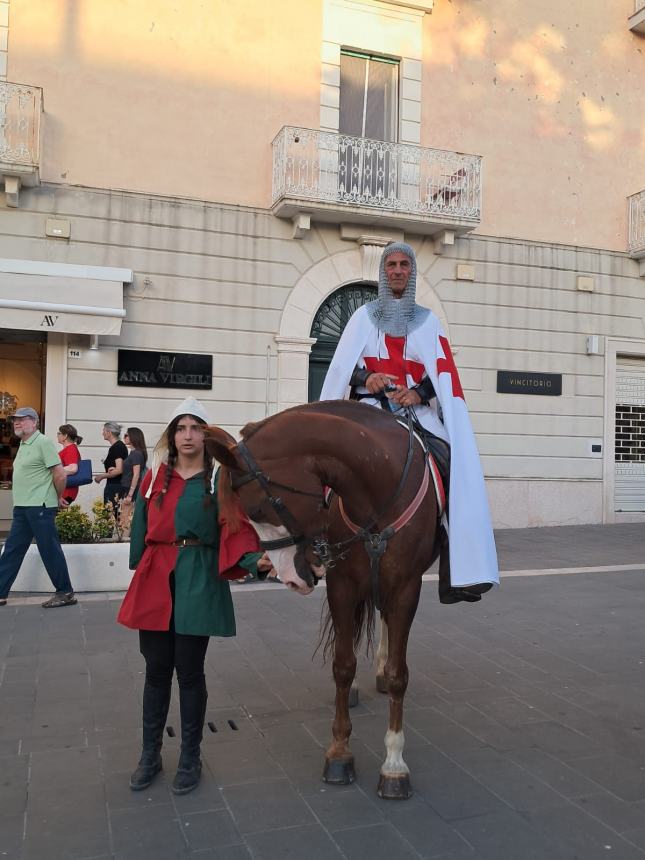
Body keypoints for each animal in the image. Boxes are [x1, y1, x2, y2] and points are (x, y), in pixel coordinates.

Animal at [206, 400, 442, 796]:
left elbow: (399, 674)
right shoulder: (342, 585)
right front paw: (339, 752)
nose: (285, 576)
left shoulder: (407, 587)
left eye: (255, 510)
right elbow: (343, 667)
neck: (378, 486)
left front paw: (394, 764)